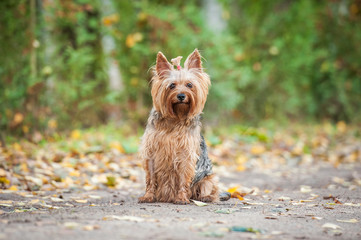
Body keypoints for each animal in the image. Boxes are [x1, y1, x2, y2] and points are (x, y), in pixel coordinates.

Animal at [139, 49, 219, 204]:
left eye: (189, 85)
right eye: (172, 85)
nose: (181, 95)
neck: (176, 117)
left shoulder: (185, 154)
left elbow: (183, 178)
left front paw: (181, 198)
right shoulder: (151, 152)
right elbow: (150, 178)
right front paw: (148, 196)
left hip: (208, 178)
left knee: (209, 189)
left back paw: (205, 197)